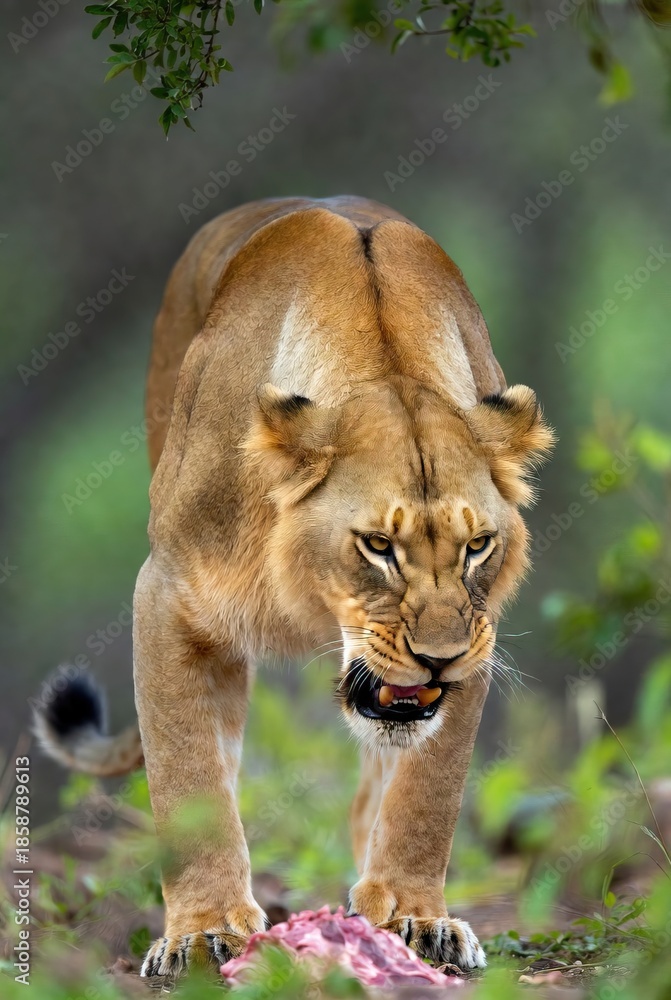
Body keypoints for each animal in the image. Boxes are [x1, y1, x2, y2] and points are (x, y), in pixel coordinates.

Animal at [35, 195, 553, 977]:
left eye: (477, 547)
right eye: (378, 546)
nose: (439, 659)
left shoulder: (479, 631)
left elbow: (427, 793)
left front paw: (416, 916)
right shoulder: (166, 596)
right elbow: (188, 775)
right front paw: (201, 931)